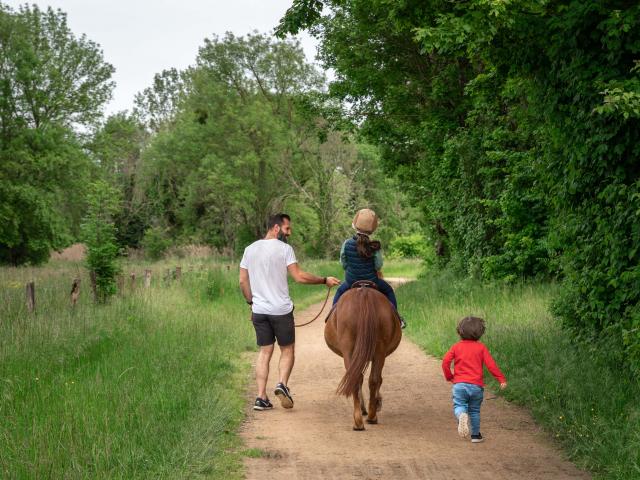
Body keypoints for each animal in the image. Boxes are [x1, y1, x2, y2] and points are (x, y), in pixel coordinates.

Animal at [324, 280, 400, 430]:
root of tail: (364, 293)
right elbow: (376, 379)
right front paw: (375, 403)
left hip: (351, 350)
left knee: (360, 378)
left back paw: (361, 420)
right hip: (377, 350)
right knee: (372, 379)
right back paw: (369, 416)